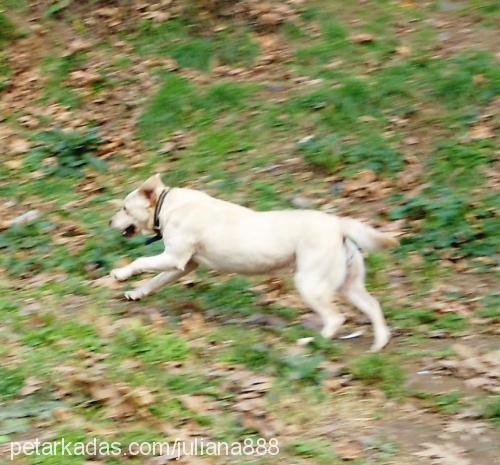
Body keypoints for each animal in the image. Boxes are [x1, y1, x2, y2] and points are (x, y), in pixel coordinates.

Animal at [109, 174, 398, 352]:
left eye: (124, 208)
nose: (109, 221)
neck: (167, 206)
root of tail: (338, 224)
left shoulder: (174, 257)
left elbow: (140, 261)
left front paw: (120, 274)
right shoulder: (184, 265)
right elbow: (154, 280)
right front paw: (136, 292)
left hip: (309, 283)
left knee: (335, 318)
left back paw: (310, 342)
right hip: (349, 285)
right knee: (373, 306)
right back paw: (379, 344)